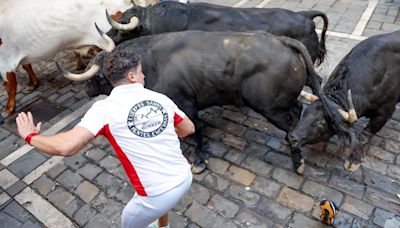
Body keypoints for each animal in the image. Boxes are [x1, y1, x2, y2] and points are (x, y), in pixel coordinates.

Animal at [83, 30, 324, 173]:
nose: (87, 90)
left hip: (271, 108)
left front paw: (199, 161)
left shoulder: (186, 104)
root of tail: (281, 40)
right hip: (282, 103)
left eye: (99, 77)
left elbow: (197, 129)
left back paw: (297, 162)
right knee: (298, 109)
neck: (152, 64)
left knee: (292, 126)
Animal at [290, 30, 398, 172]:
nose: (292, 138)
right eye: (305, 113)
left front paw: (353, 160)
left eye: (322, 123)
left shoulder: (385, 110)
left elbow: (365, 134)